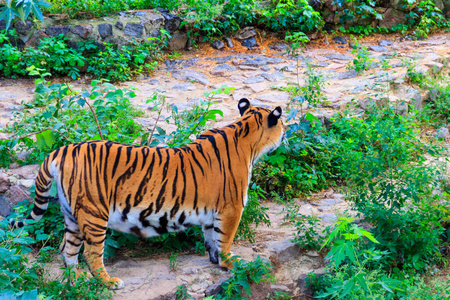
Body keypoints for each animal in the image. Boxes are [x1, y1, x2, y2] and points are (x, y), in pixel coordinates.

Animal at [10, 98, 286, 288]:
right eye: (282, 123)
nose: (285, 133)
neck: (246, 135)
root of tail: (62, 150)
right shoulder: (231, 208)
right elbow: (225, 239)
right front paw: (231, 263)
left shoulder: (213, 211)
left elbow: (211, 237)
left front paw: (216, 260)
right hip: (94, 214)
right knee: (91, 253)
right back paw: (108, 282)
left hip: (71, 215)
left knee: (67, 250)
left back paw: (77, 279)